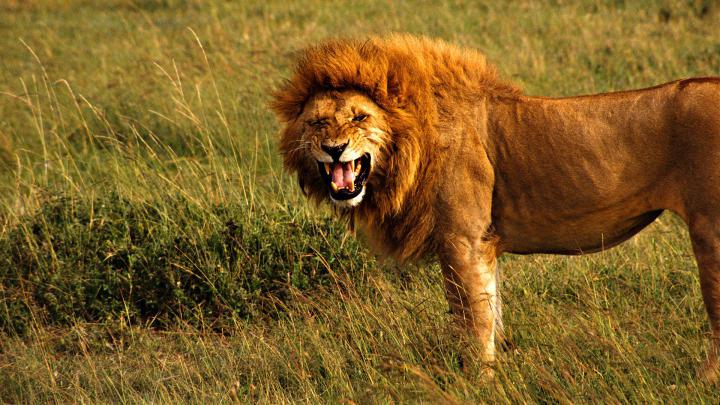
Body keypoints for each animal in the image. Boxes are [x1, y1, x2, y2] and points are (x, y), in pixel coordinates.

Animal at [271, 34, 720, 381]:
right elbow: (491, 311)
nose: (334, 149)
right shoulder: (483, 245)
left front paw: (477, 382)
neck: (410, 145)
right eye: (317, 123)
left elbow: (472, 321)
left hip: (710, 232)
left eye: (360, 117)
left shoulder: (463, 240)